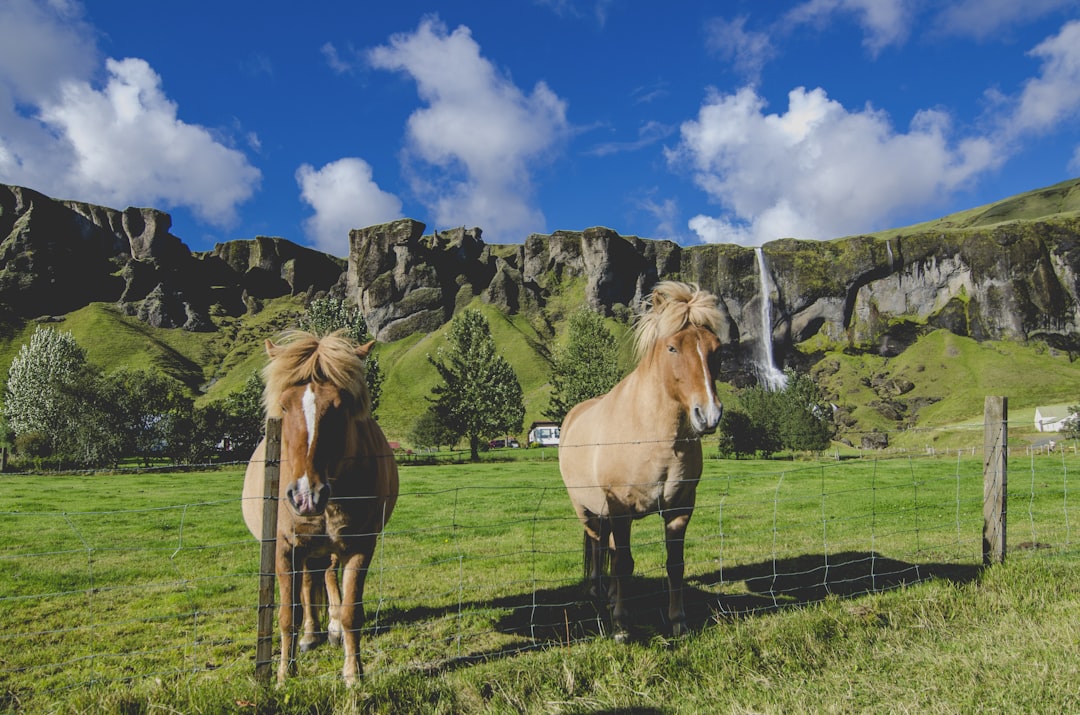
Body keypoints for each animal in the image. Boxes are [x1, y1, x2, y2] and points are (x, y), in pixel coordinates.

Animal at [242, 329, 399, 684]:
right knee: (308, 584)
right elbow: (288, 615)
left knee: (326, 578)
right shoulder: (284, 549)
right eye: (284, 407)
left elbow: (351, 611)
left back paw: (332, 630)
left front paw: (354, 675)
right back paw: (311, 635)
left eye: (340, 408)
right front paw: (284, 676)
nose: (305, 496)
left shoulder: (359, 546)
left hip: (328, 549)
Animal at [558, 281, 724, 642]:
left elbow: (674, 565)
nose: (708, 414)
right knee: (597, 546)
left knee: (606, 546)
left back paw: (608, 595)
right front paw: (622, 626)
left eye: (716, 349)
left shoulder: (679, 510)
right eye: (672, 348)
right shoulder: (620, 510)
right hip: (587, 510)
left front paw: (679, 622)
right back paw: (597, 592)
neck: (651, 437)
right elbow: (623, 564)